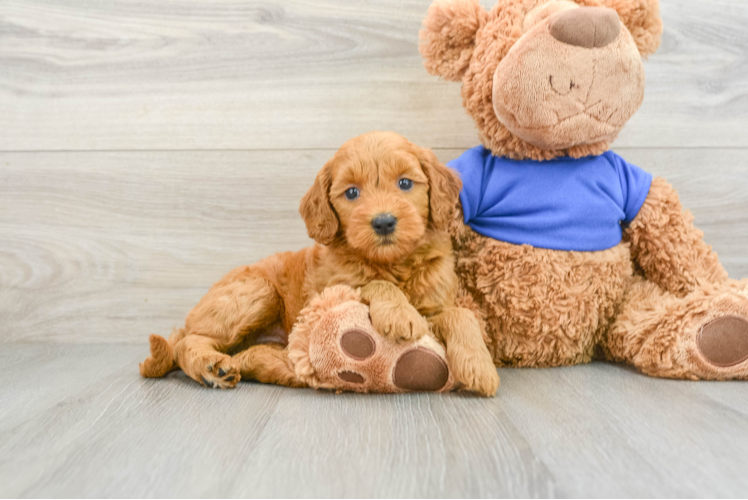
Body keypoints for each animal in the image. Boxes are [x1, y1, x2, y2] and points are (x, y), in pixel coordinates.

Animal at [142, 131, 500, 396]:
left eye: (405, 183)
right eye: (352, 193)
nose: (384, 222)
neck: (392, 264)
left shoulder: (437, 302)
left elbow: (461, 314)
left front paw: (479, 365)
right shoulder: (334, 285)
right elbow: (373, 283)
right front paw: (399, 314)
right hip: (256, 292)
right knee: (188, 341)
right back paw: (210, 366)